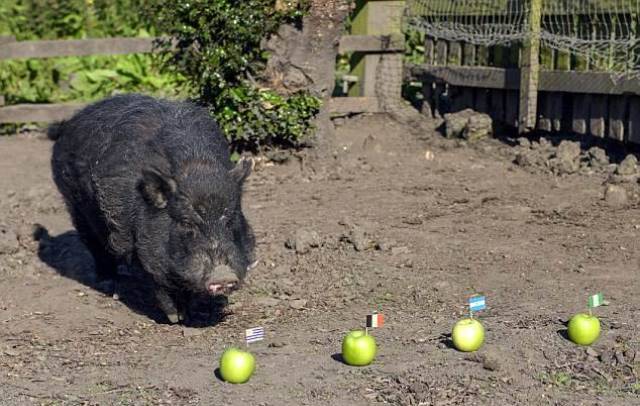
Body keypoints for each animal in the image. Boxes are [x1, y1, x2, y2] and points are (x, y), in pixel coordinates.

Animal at [48, 93, 256, 324]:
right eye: (186, 223)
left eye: (230, 220)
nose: (223, 275)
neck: (195, 166)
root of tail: (72, 121)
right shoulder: (133, 238)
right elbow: (157, 280)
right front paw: (175, 319)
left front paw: (189, 315)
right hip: (74, 204)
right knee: (94, 244)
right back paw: (109, 284)